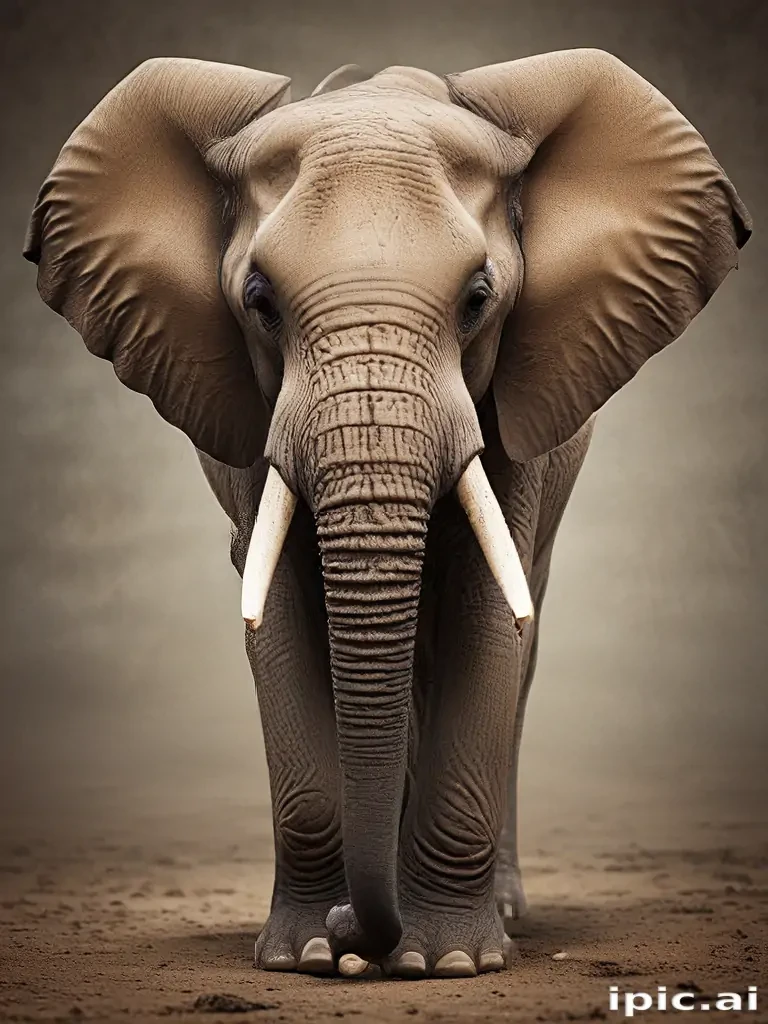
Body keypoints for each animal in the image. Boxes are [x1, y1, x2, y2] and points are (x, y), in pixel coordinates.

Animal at [24, 50, 750, 980]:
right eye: (259, 300)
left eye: (477, 298)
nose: (353, 933)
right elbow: (280, 612)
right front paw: (307, 956)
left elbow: (485, 611)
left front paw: (442, 963)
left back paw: (495, 914)